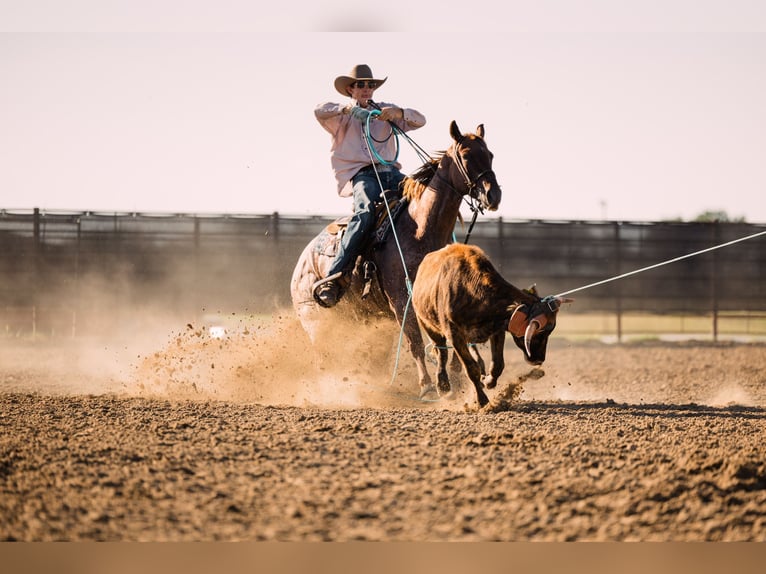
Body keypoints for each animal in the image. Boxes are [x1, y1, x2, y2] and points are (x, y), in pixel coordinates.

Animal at [290, 121, 504, 400]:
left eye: (490, 155)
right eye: (466, 156)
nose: (493, 195)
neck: (421, 229)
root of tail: (300, 265)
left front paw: (454, 380)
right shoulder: (401, 298)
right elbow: (415, 341)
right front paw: (428, 385)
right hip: (316, 319)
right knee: (325, 355)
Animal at [414, 243, 568, 410]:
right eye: (542, 332)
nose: (539, 359)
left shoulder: (497, 330)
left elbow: (498, 364)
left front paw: (488, 381)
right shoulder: (454, 334)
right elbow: (471, 368)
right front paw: (482, 401)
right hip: (426, 324)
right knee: (441, 351)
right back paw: (443, 385)